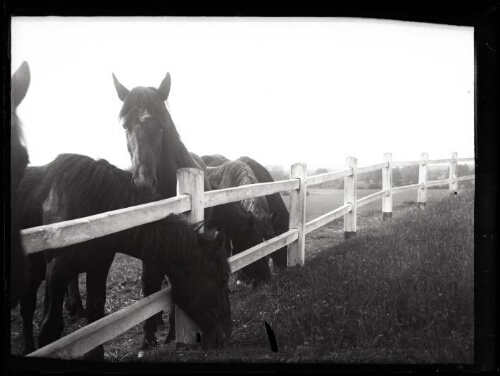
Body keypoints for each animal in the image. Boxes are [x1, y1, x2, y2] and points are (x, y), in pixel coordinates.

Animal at [17, 154, 232, 360]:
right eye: (221, 279)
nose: (225, 336)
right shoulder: (57, 269)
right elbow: (49, 329)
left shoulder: (98, 266)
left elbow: (95, 317)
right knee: (27, 309)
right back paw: (28, 347)